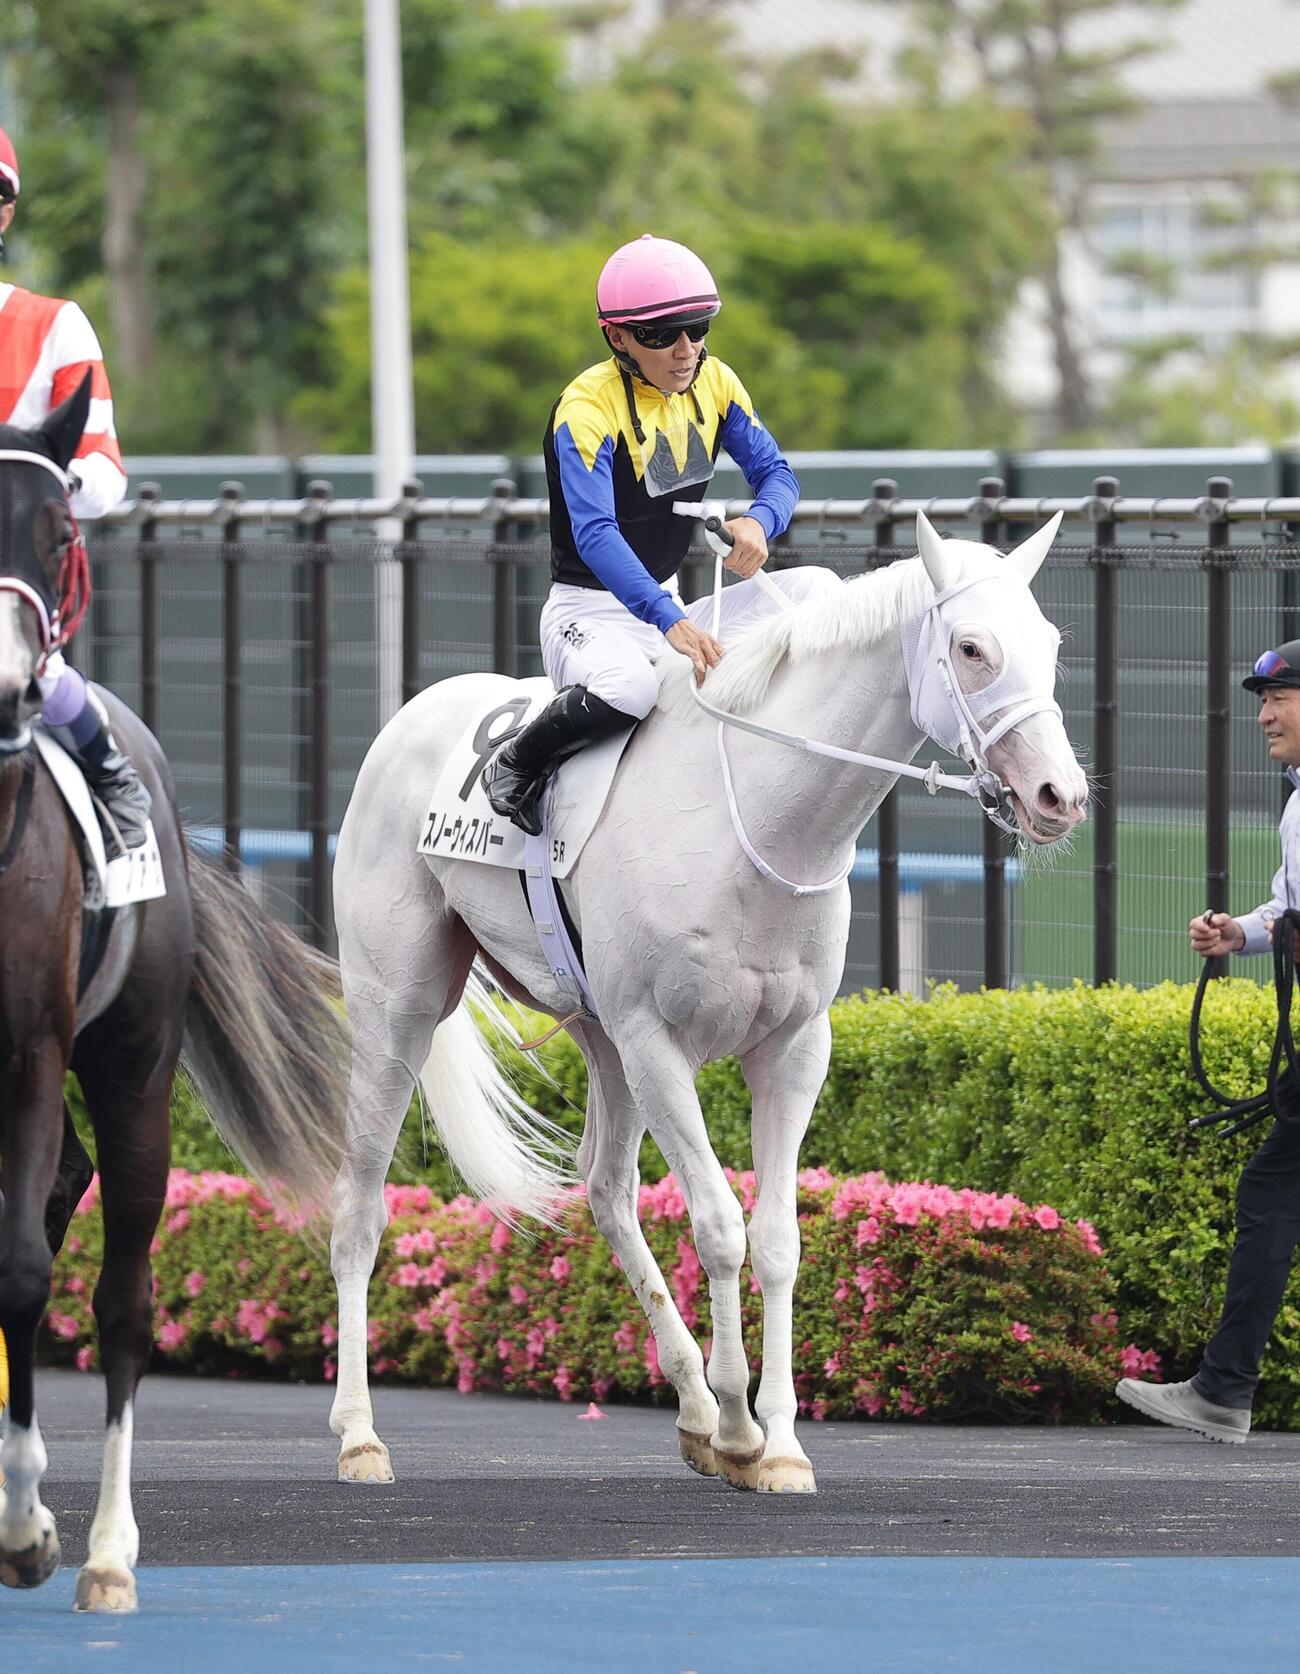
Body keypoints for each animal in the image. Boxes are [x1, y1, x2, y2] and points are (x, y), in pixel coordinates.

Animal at [0, 381, 351, 1612]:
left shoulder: (35, 1051)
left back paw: (105, 1550)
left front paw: (30, 1530)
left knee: (119, 1298)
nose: (8, 684)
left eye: (59, 534)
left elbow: (23, 1269)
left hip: (133, 1071)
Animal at [327, 513, 1088, 1492]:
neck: (757, 820)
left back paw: (686, 1402)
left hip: (598, 1034)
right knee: (360, 1204)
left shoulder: (794, 1048)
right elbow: (720, 1227)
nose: (1059, 796)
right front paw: (738, 1426)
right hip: (400, 1008)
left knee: (606, 1192)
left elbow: (778, 1241)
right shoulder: (659, 1042)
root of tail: (410, 717)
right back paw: (360, 1434)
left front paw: (780, 1443)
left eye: (1051, 645)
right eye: (971, 647)